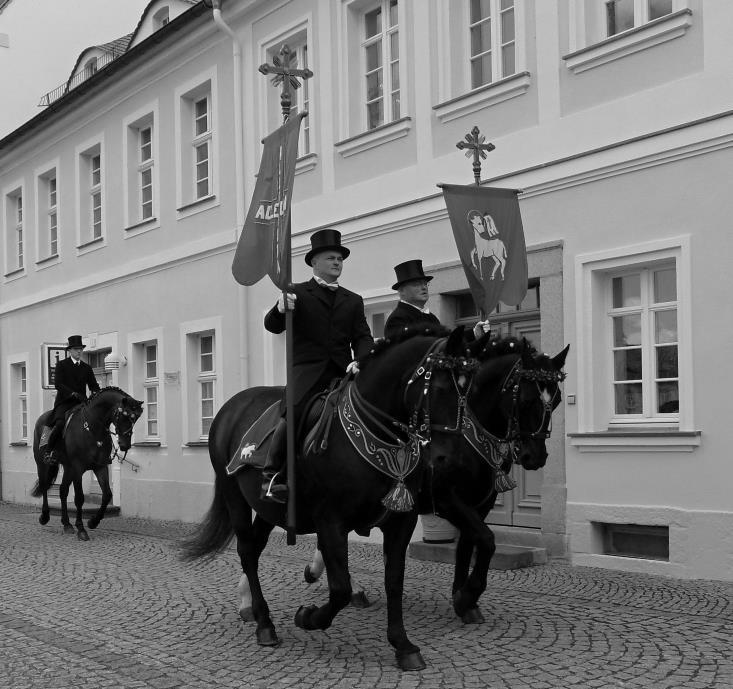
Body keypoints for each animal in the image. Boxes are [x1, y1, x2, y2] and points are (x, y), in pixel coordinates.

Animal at [31, 388, 143, 536]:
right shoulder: (78, 468)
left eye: (135, 418)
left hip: (68, 468)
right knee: (44, 486)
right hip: (42, 464)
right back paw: (45, 516)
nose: (125, 445)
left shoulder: (100, 467)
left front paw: (93, 522)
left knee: (63, 490)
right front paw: (81, 528)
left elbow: (107, 494)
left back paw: (67, 524)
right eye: (123, 415)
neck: (93, 428)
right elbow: (79, 498)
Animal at [179, 330, 474, 672]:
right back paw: (265, 624)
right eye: (439, 387)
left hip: (267, 508)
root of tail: (230, 406)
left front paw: (403, 645)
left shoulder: (400, 521)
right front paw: (308, 616)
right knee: (246, 552)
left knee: (254, 548)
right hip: (234, 496)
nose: (449, 458)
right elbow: (340, 588)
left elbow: (393, 581)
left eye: (468, 389)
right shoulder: (331, 521)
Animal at [302, 336, 568, 628]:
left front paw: (464, 599)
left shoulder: (480, 505)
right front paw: (467, 596)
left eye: (557, 400)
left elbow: (468, 547)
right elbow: (486, 540)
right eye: (527, 399)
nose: (536, 456)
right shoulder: (447, 499)